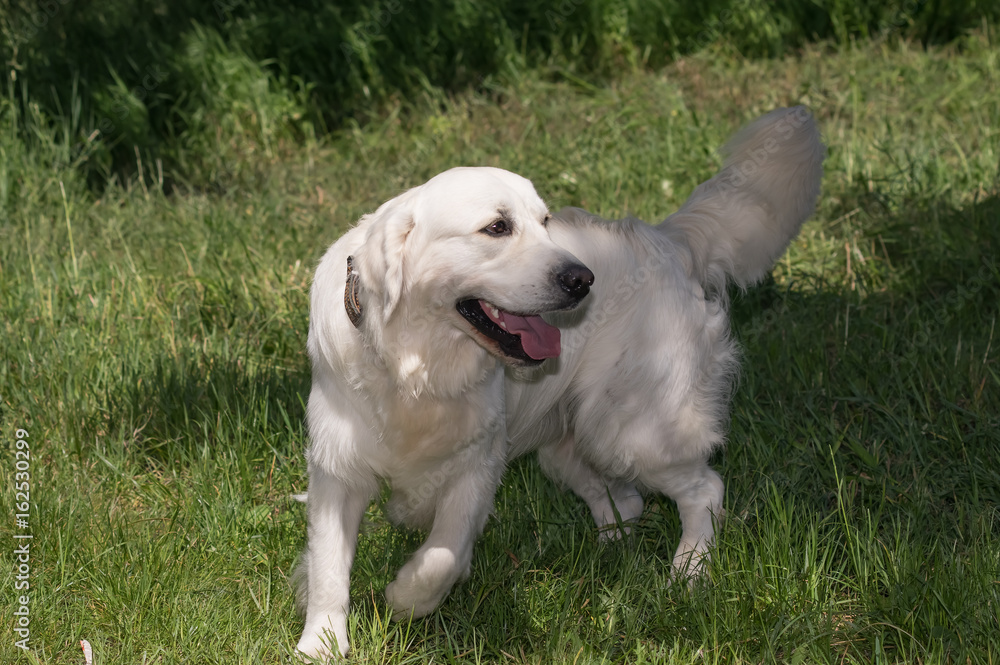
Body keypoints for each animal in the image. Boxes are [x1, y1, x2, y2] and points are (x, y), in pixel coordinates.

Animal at [292, 106, 824, 656]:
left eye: (545, 222)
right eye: (497, 227)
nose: (582, 279)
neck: (416, 368)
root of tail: (666, 238)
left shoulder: (479, 463)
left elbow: (443, 554)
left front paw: (405, 597)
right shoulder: (337, 469)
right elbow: (330, 569)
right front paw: (321, 644)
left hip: (630, 431)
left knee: (706, 490)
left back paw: (688, 575)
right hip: (573, 442)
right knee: (627, 500)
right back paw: (610, 552)